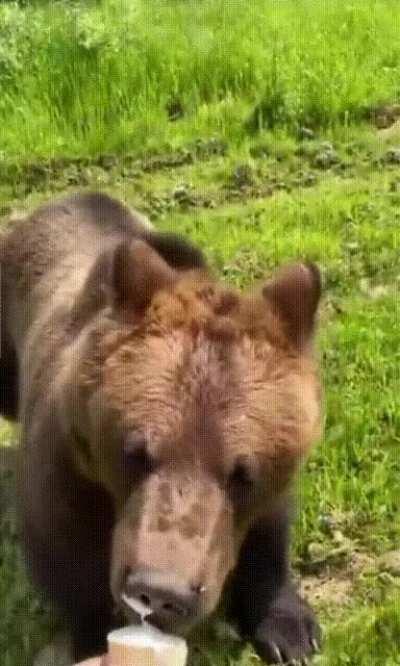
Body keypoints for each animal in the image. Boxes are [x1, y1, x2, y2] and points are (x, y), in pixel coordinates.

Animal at [0, 191, 324, 660]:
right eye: (134, 454)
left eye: (242, 474)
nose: (162, 593)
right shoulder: (64, 468)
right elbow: (68, 560)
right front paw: (97, 636)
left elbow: (268, 534)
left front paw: (290, 632)